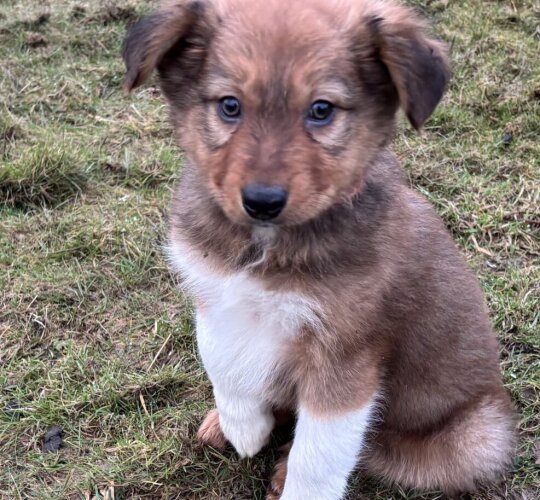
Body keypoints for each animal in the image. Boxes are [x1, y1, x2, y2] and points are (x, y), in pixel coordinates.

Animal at [121, 1, 516, 498]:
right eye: (230, 106)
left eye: (321, 110)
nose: (262, 201)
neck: (265, 245)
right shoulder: (215, 294)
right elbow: (222, 362)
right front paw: (243, 427)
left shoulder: (346, 357)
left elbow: (319, 452)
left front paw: (291, 476)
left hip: (472, 437)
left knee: (370, 447)